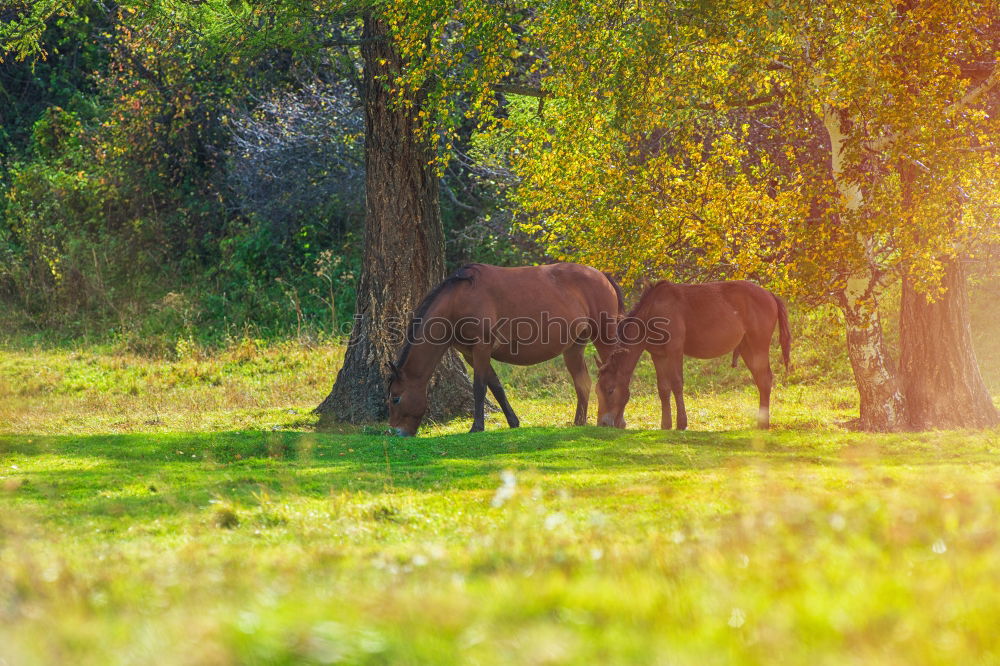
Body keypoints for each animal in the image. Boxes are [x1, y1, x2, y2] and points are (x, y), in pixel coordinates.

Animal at [386, 262, 620, 438]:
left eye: (395, 398)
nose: (396, 433)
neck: (458, 299)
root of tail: (603, 276)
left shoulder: (481, 348)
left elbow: (480, 387)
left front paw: (477, 427)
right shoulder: (470, 353)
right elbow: (496, 386)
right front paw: (513, 421)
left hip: (604, 337)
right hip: (573, 348)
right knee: (583, 383)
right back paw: (579, 421)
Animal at [592, 278, 788, 428]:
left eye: (610, 390)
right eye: (597, 390)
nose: (603, 423)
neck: (652, 311)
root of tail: (770, 295)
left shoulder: (675, 350)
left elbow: (677, 384)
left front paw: (681, 423)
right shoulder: (658, 355)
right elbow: (663, 388)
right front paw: (665, 424)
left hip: (758, 345)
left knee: (765, 379)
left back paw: (763, 423)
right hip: (747, 348)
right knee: (761, 380)